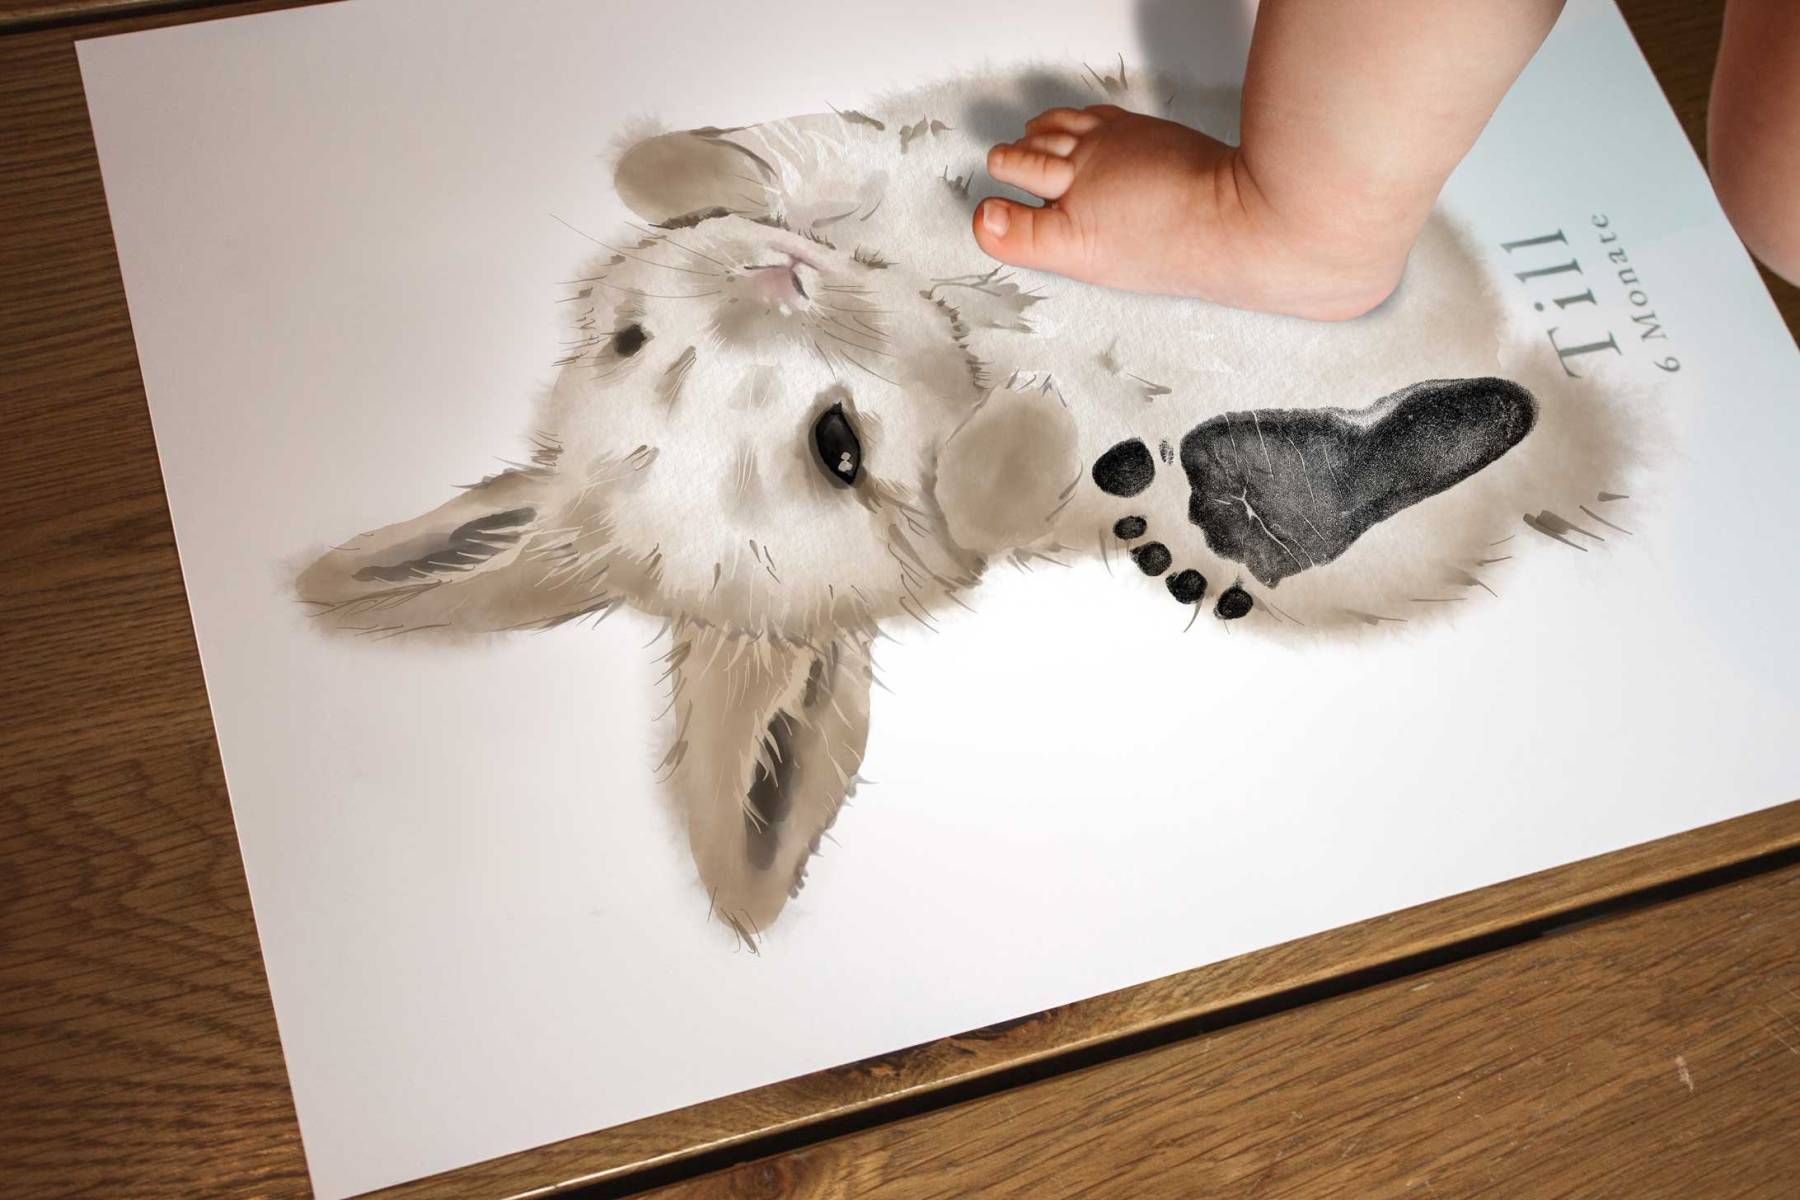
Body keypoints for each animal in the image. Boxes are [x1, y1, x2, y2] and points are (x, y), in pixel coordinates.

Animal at [296, 65, 1637, 944]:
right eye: (837, 450)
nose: (771, 275)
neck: (949, 309)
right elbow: (998, 497)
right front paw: (1029, 440)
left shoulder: (871, 163)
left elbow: (734, 164)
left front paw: (679, 171)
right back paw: (1281, 491)